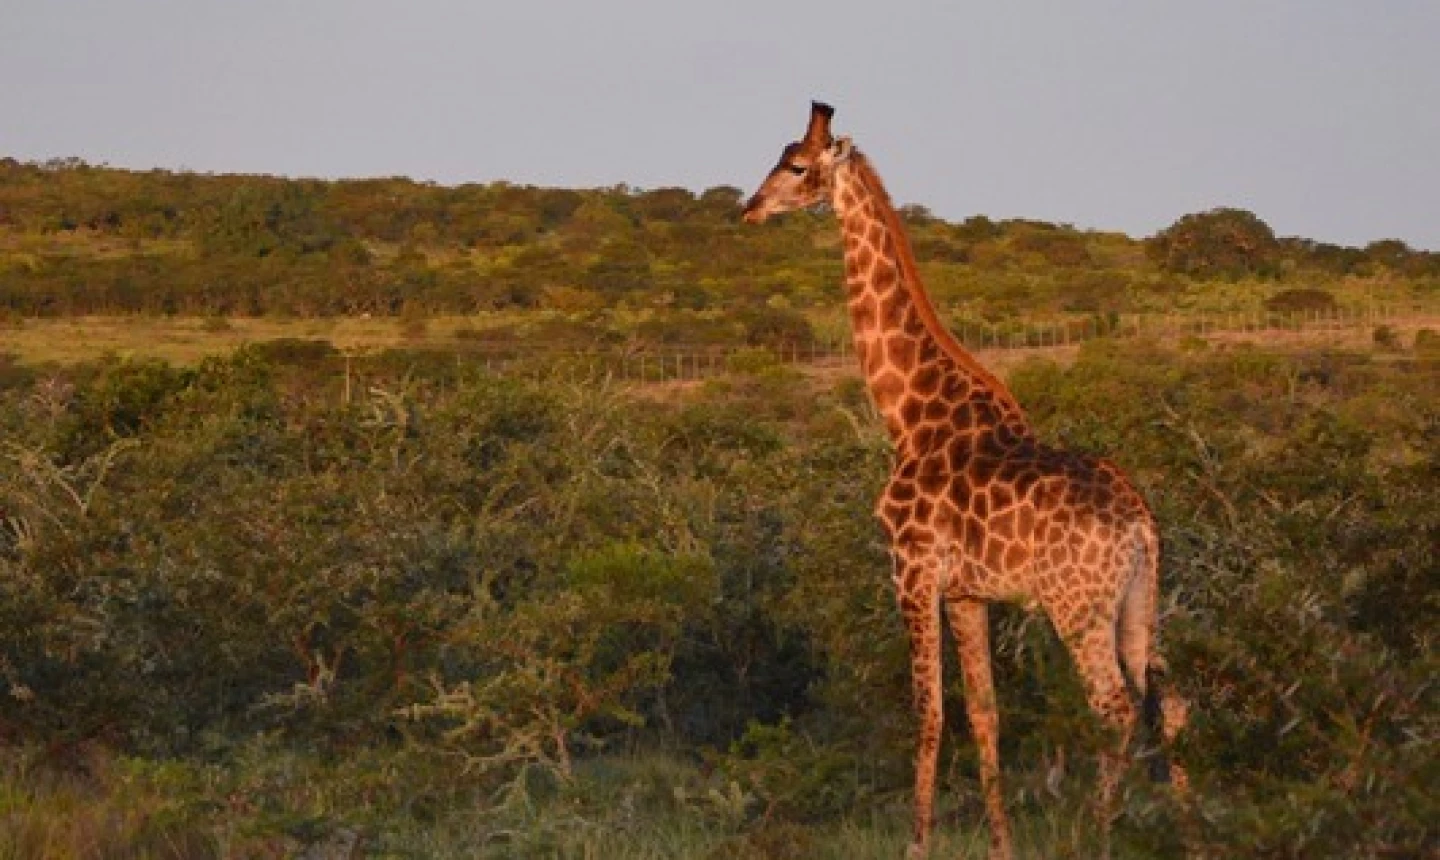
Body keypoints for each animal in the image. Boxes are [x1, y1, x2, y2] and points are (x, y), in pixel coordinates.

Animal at [741, 102, 1188, 859]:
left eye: (796, 166)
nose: (749, 208)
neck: (910, 414)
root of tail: (1139, 523)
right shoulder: (969, 593)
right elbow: (984, 713)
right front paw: (1001, 844)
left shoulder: (912, 570)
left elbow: (929, 711)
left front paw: (916, 844)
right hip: (1138, 600)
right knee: (1170, 699)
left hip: (1077, 608)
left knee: (1115, 710)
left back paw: (1101, 833)